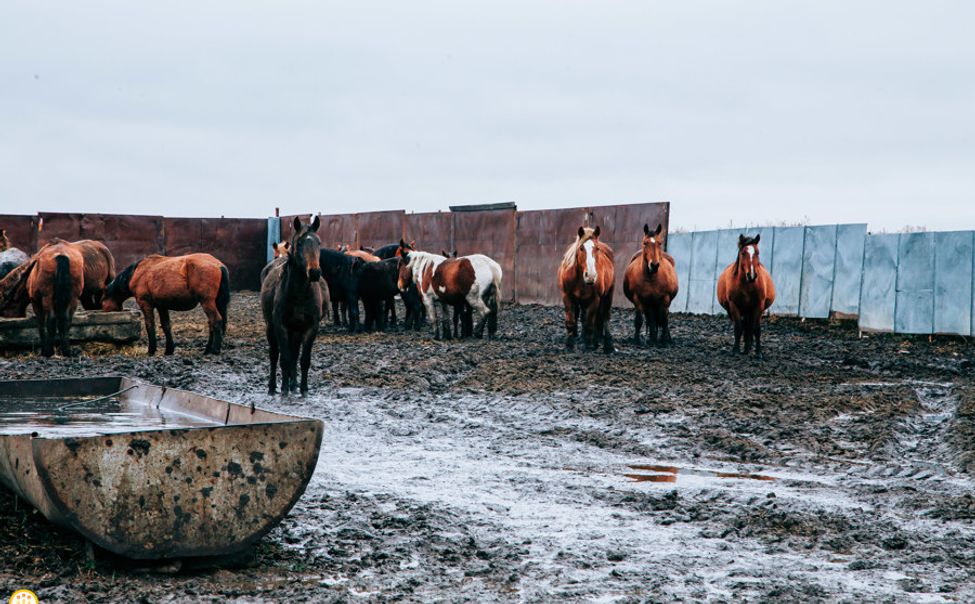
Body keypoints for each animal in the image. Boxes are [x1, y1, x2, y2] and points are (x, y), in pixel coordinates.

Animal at [103, 250, 231, 354]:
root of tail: (218, 264)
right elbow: (166, 325)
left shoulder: (145, 304)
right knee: (211, 323)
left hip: (207, 302)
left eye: (102, 301)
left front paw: (151, 350)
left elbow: (150, 325)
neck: (136, 273)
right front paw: (169, 349)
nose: (104, 310)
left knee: (216, 321)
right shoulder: (162, 306)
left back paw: (215, 350)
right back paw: (208, 349)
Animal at [262, 215, 322, 394]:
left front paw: (303, 388)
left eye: (318, 242)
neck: (300, 293)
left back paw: (293, 384)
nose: (314, 272)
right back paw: (273, 386)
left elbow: (303, 359)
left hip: (296, 331)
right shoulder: (280, 325)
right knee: (274, 354)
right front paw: (284, 389)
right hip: (271, 327)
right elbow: (284, 358)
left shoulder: (310, 328)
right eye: (300, 243)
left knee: (294, 354)